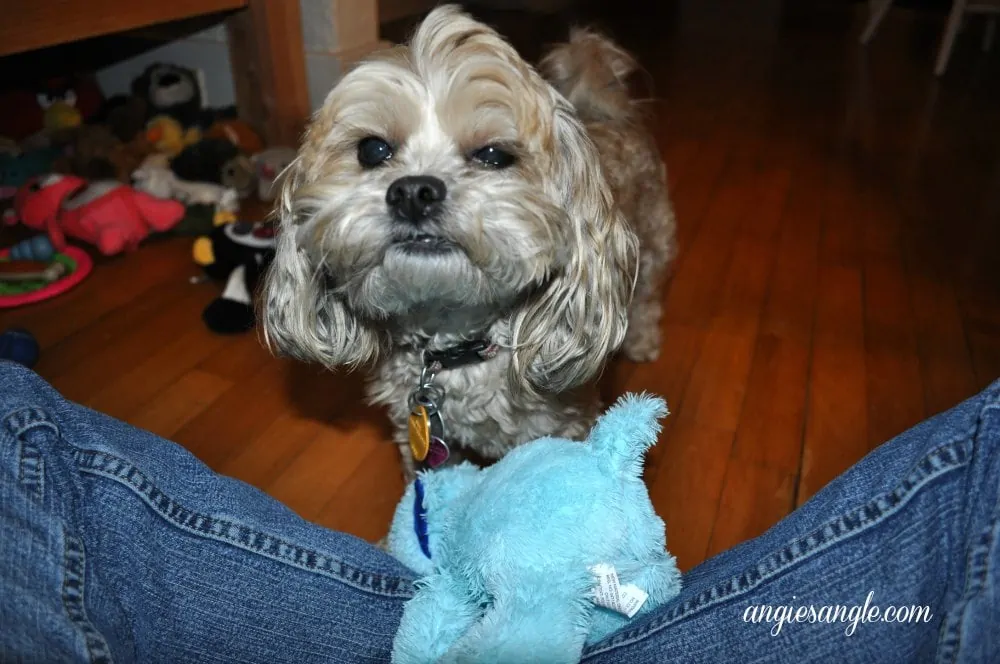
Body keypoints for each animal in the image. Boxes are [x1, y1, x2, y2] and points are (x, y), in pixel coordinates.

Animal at [262, 3, 676, 478]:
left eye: (493, 155)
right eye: (372, 150)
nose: (413, 193)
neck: (457, 346)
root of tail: (607, 115)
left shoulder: (561, 427)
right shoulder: (423, 438)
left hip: (656, 242)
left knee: (646, 298)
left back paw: (642, 341)